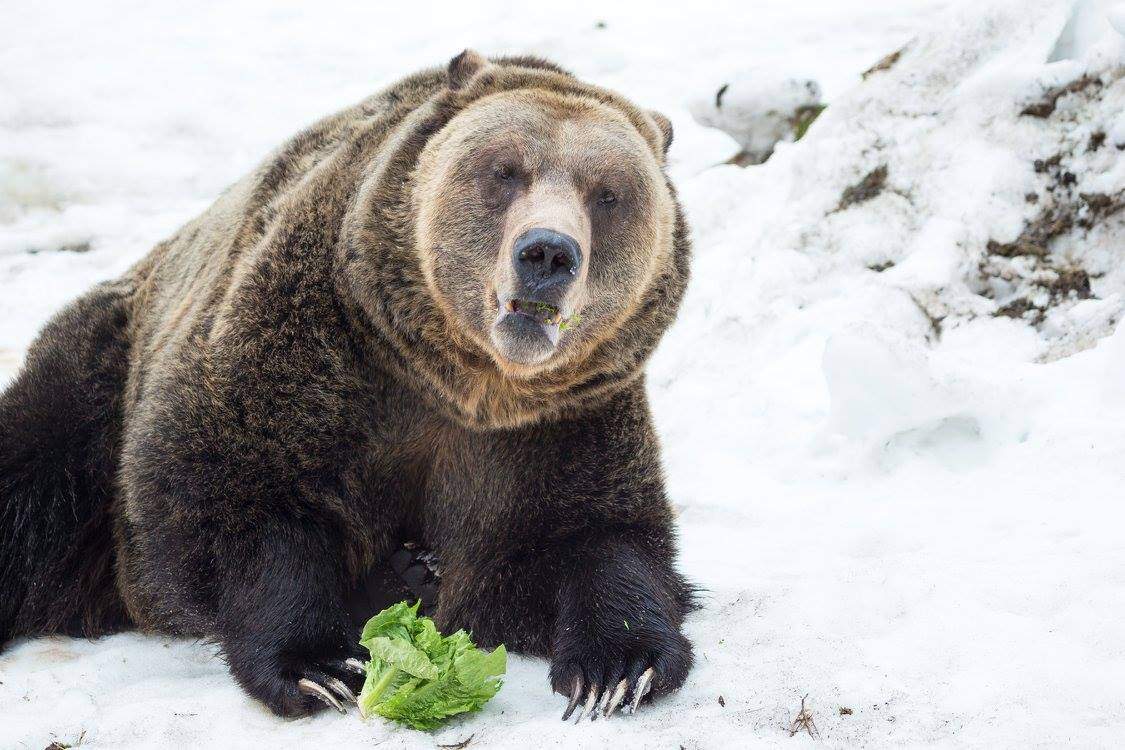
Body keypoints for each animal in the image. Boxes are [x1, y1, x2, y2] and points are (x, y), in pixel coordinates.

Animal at [0, 50, 695, 720]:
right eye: (505, 170)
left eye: (608, 193)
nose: (547, 253)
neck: (457, 381)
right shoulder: (313, 346)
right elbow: (234, 497)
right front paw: (320, 665)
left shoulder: (559, 422)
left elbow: (590, 536)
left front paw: (618, 668)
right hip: (96, 389)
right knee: (33, 485)